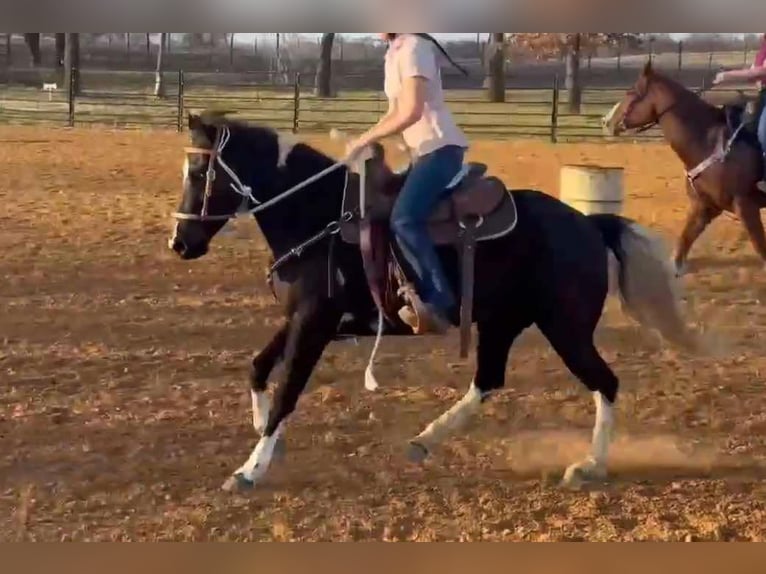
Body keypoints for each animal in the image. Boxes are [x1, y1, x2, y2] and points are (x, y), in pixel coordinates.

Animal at [168, 111, 707, 493]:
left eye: (199, 170)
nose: (180, 244)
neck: (319, 217)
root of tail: (587, 224)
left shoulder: (314, 322)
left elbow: (287, 391)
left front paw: (250, 469)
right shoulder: (303, 317)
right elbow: (258, 368)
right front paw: (264, 436)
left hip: (566, 329)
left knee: (604, 383)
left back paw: (589, 465)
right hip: (502, 323)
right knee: (488, 381)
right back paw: (423, 442)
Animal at [602, 59, 766, 277]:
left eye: (631, 92)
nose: (605, 122)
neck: (710, 142)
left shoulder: (746, 206)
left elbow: (760, 247)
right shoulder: (704, 206)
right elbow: (684, 241)